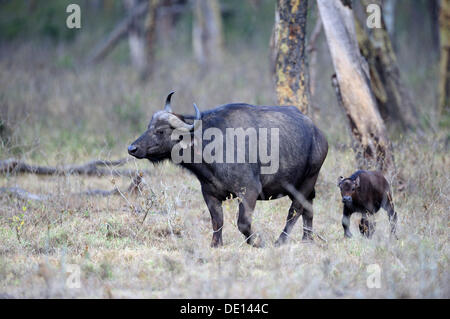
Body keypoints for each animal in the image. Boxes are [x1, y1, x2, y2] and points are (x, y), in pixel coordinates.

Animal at [126, 92, 326, 248]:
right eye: (148, 127)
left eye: (160, 131)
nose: (132, 148)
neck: (211, 146)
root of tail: (318, 133)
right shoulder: (209, 193)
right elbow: (217, 221)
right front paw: (215, 244)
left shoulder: (249, 191)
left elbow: (243, 223)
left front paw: (257, 242)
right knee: (308, 209)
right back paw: (307, 239)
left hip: (308, 180)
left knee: (295, 211)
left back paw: (281, 241)